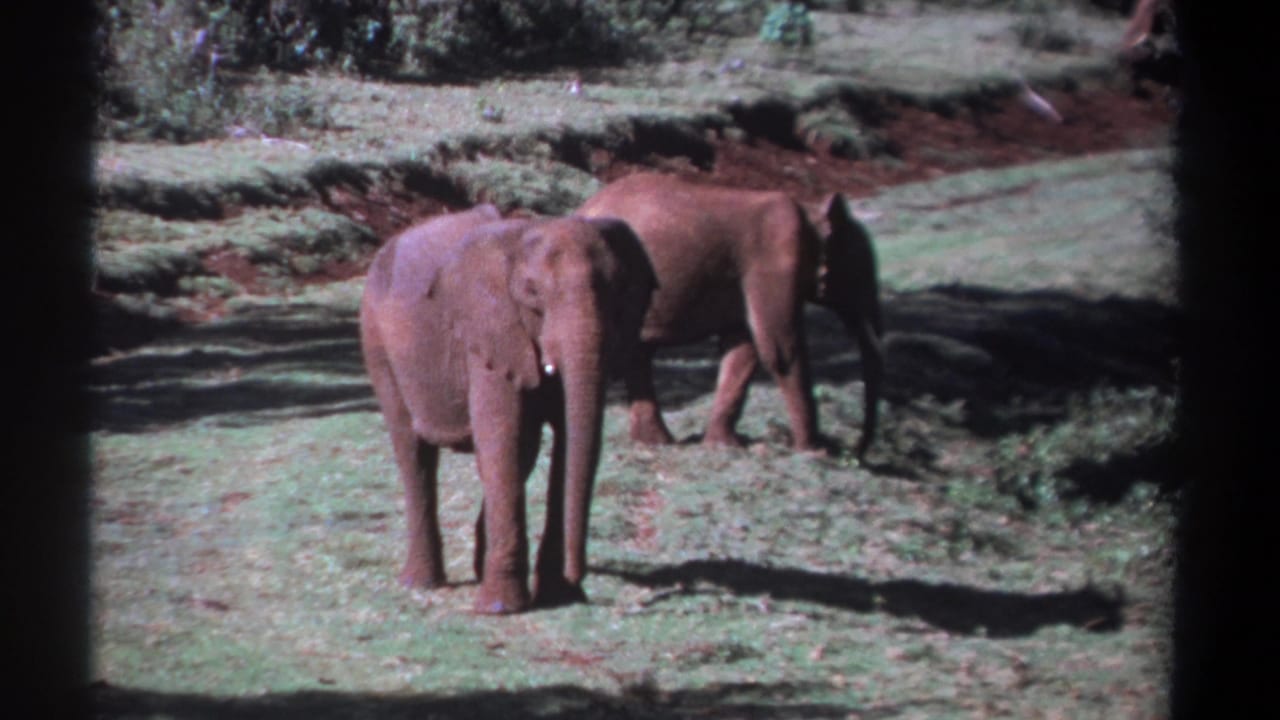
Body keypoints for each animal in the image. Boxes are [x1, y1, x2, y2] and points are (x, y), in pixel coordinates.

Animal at [359, 205, 655, 614]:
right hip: (377, 342)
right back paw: (420, 583)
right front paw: (501, 609)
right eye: (532, 293)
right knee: (413, 452)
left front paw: (558, 595)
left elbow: (557, 442)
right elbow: (505, 440)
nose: (579, 578)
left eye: (620, 289)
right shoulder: (490, 332)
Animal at [577, 172, 884, 458]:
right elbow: (780, 350)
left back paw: (656, 443)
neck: (812, 213)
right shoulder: (774, 263)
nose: (856, 451)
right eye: (860, 273)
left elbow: (742, 348)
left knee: (638, 355)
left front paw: (724, 445)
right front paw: (815, 451)